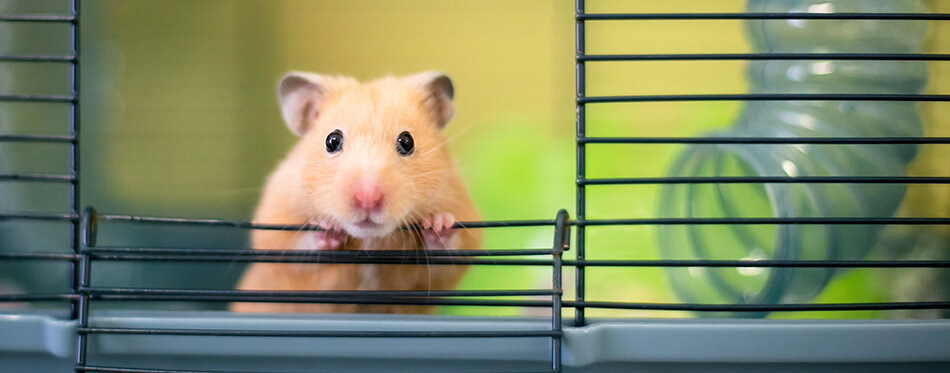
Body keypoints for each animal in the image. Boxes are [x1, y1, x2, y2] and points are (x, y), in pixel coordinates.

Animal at [231, 70, 484, 314]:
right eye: (332, 140)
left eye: (407, 141)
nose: (368, 199)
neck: (368, 240)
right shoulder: (276, 224)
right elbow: (297, 247)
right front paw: (327, 228)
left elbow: (446, 251)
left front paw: (437, 223)